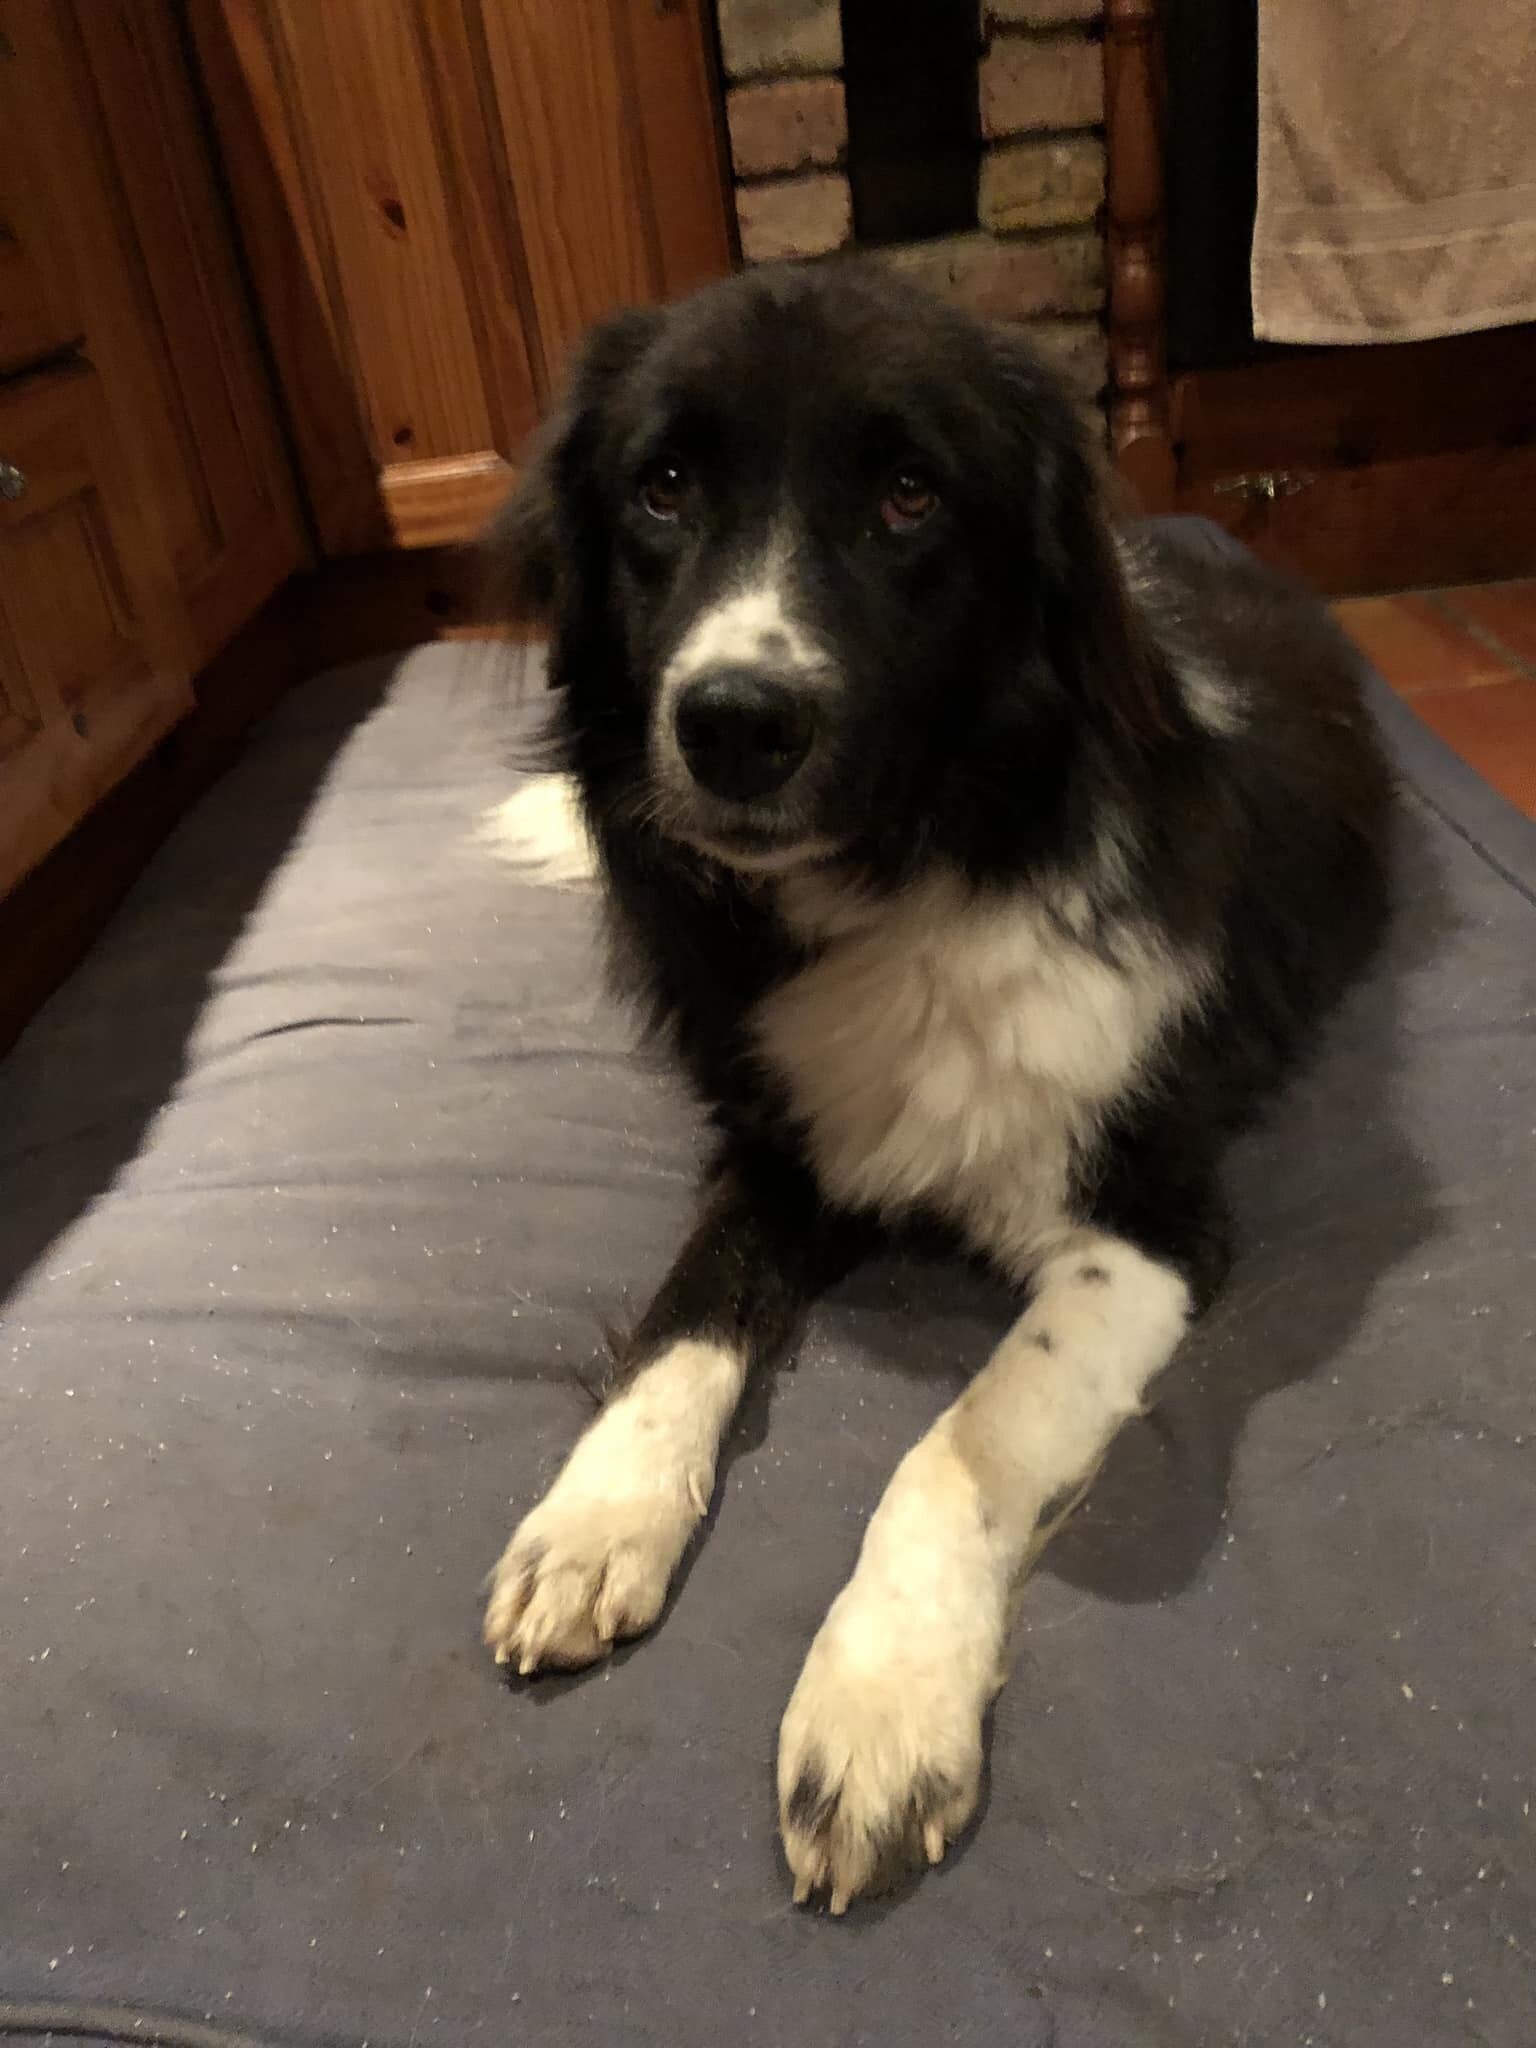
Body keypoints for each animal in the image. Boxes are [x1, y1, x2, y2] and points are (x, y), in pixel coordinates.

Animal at [479, 260, 1392, 1912]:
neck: (912, 870)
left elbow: (964, 1438)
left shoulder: (1144, 1222)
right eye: (662, 487)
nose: (732, 722)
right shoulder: (772, 1149)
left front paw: (878, 1708)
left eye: (910, 496)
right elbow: (678, 1322)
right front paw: (593, 1517)